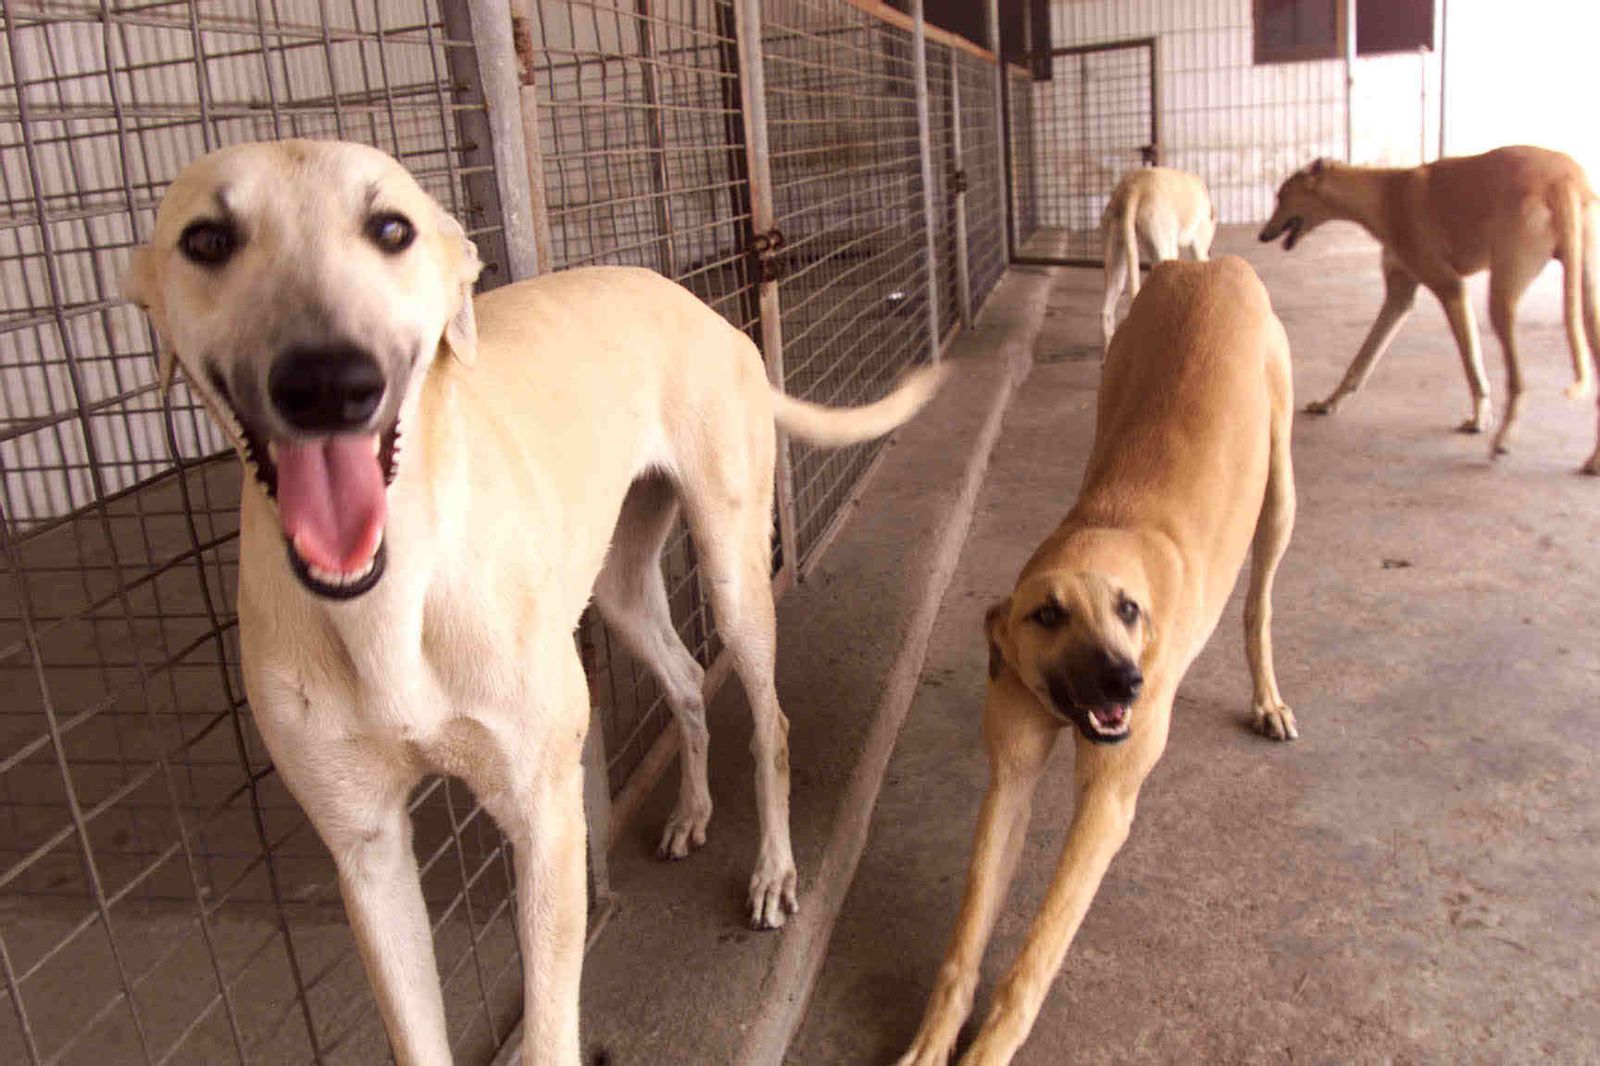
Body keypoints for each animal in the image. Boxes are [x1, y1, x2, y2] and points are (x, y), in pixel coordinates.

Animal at [124, 140, 947, 1062]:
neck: (389, 598)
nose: (328, 381)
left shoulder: (546, 816)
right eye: (207, 240)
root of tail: (711, 313)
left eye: (391, 229)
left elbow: (552, 1027)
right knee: (687, 681)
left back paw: (773, 872)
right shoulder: (367, 853)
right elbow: (415, 1030)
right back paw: (692, 811)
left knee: (769, 722)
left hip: (733, 570)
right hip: (621, 590)